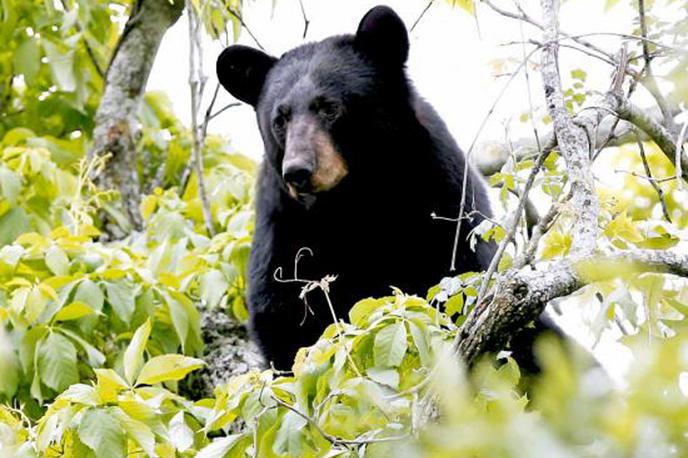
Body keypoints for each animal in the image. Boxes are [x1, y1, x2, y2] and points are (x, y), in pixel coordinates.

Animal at [218, 5, 498, 370]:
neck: (355, 201)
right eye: (280, 118)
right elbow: (284, 320)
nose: (297, 171)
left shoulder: (442, 195)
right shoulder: (283, 228)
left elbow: (465, 273)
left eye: (329, 107)